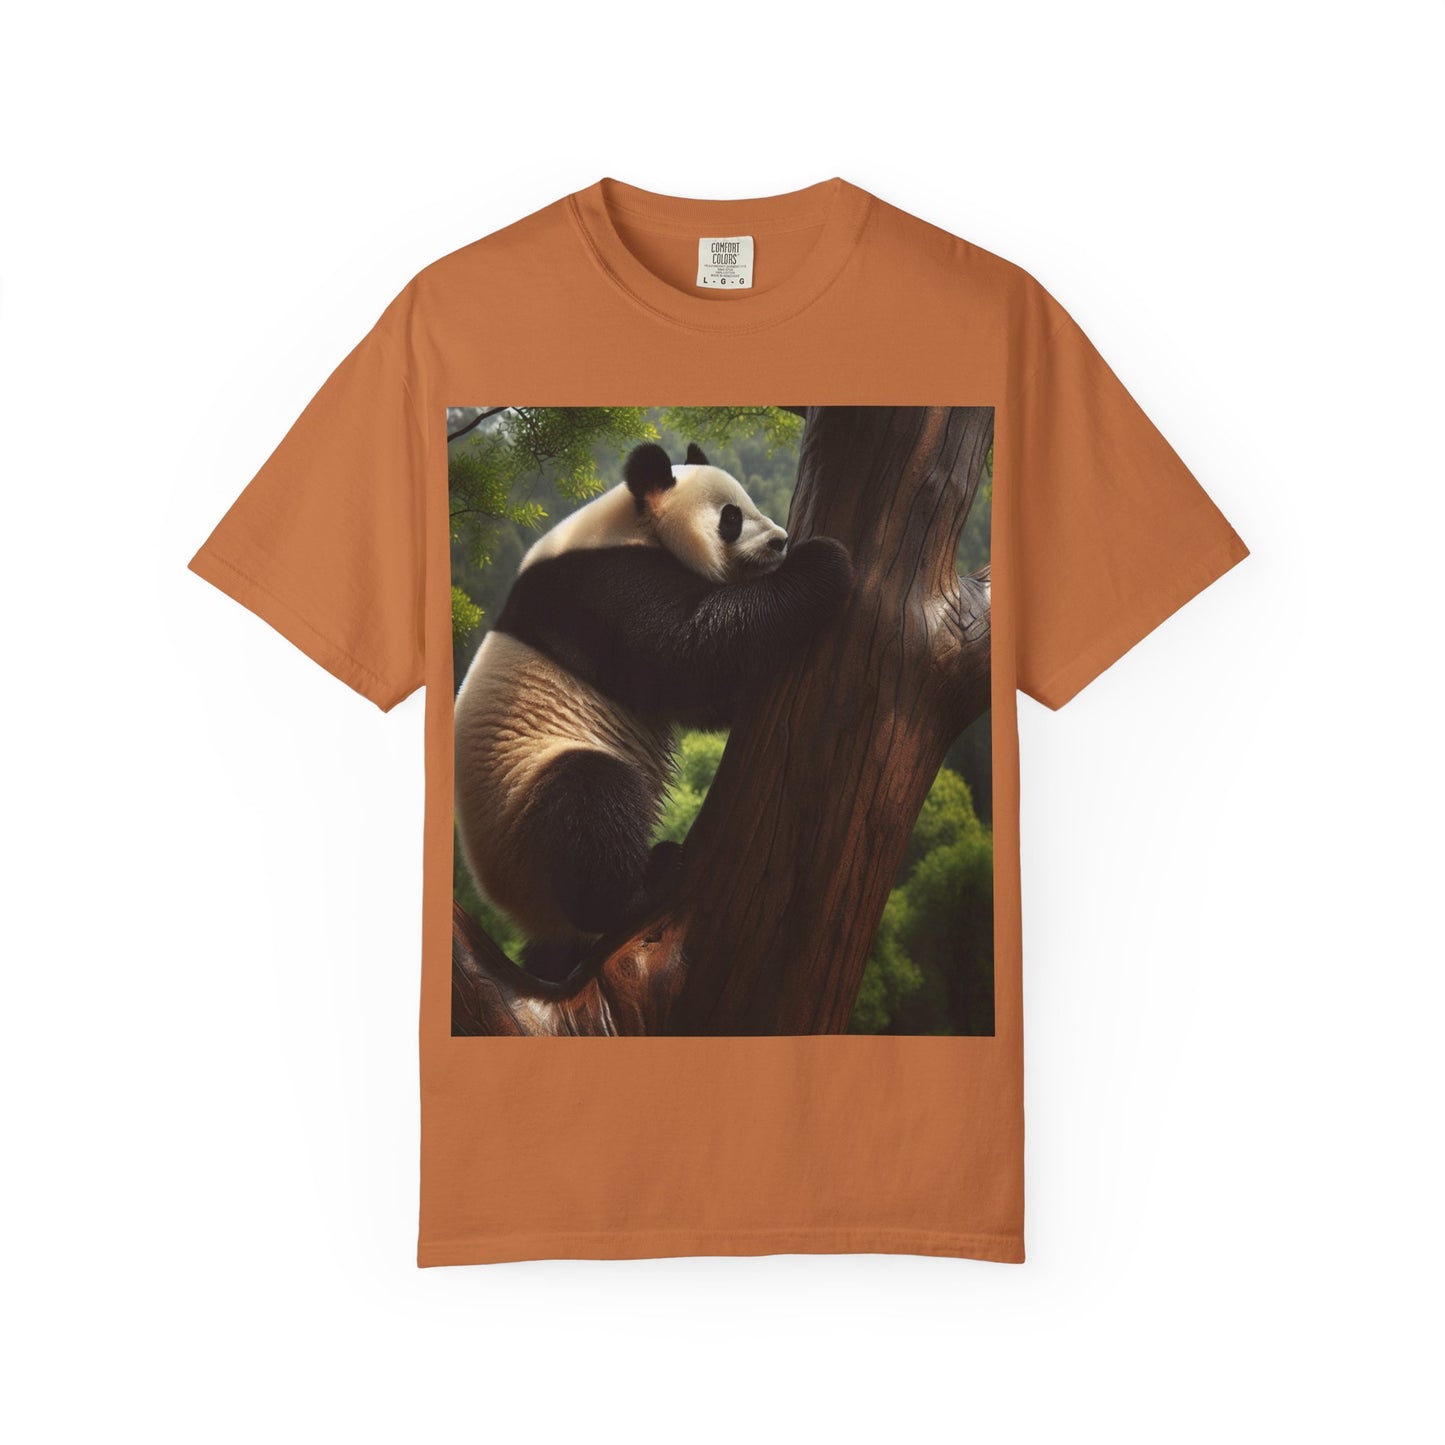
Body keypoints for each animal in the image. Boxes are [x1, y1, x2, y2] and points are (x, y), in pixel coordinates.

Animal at [454, 440, 853, 983]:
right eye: (731, 517)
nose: (780, 542)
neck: (633, 522)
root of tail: (526, 916)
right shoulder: (603, 589)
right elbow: (688, 650)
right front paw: (825, 561)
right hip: (523, 811)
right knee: (588, 801)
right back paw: (649, 879)